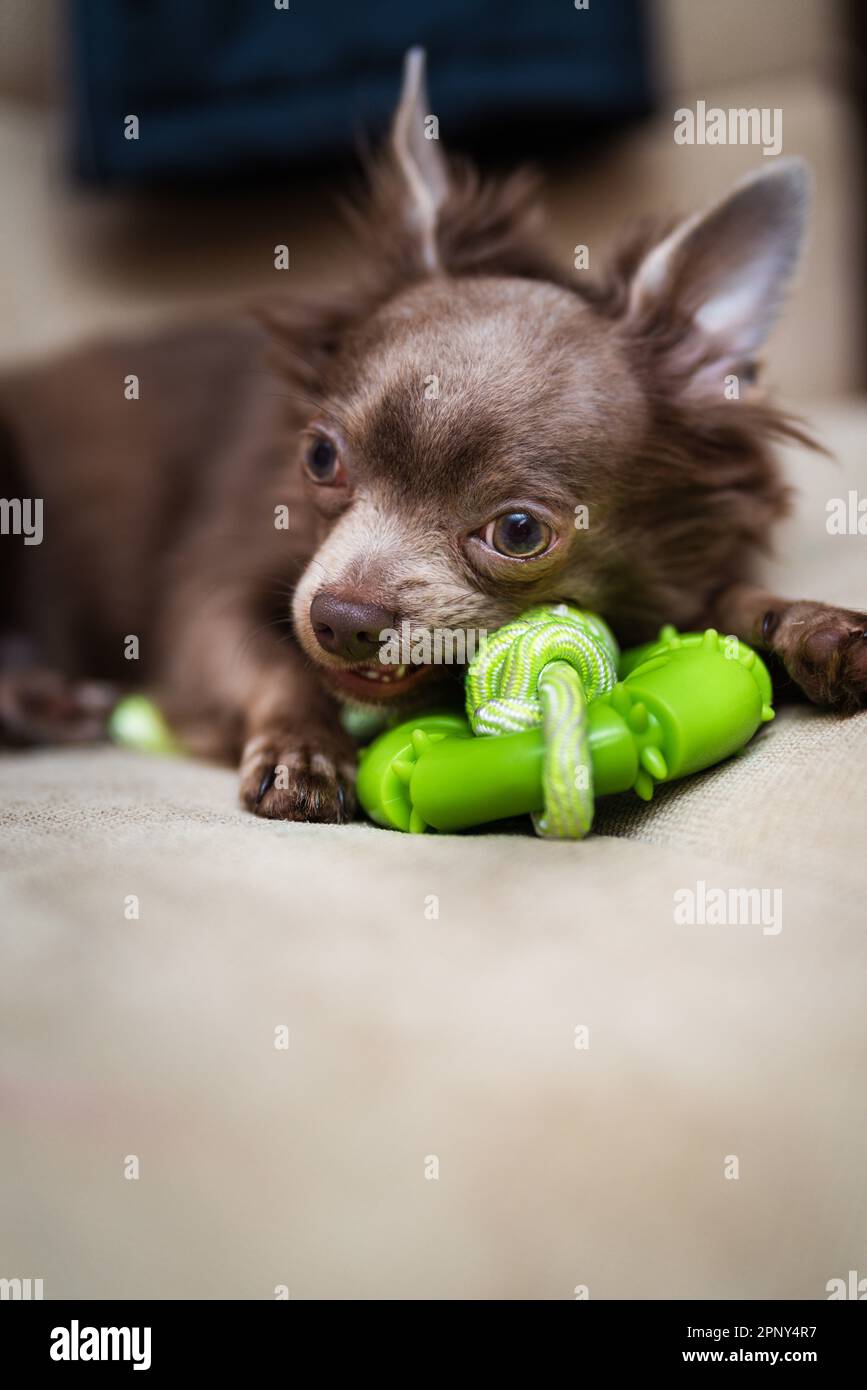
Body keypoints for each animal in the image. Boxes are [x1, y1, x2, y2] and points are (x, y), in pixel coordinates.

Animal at [0, 54, 861, 817]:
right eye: (320, 456)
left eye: (519, 533)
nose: (341, 617)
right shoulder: (207, 602)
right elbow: (274, 665)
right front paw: (303, 751)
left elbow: (734, 600)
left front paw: (813, 625)